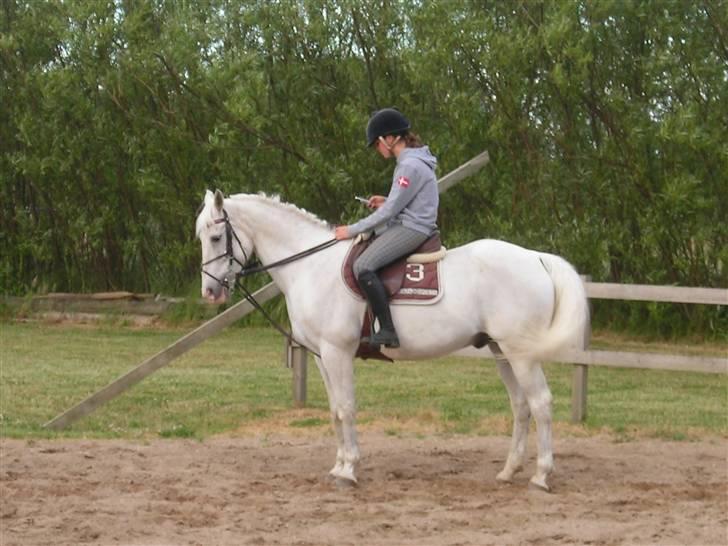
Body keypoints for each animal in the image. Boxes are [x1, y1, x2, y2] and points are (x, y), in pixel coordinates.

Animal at [196, 189, 589, 491]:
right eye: (201, 238)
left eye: (215, 238)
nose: (210, 293)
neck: (312, 267)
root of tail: (536, 258)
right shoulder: (322, 356)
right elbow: (335, 410)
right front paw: (339, 466)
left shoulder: (337, 352)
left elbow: (347, 408)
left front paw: (349, 471)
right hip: (500, 350)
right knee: (521, 406)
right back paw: (508, 471)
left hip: (521, 354)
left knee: (540, 404)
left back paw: (540, 476)